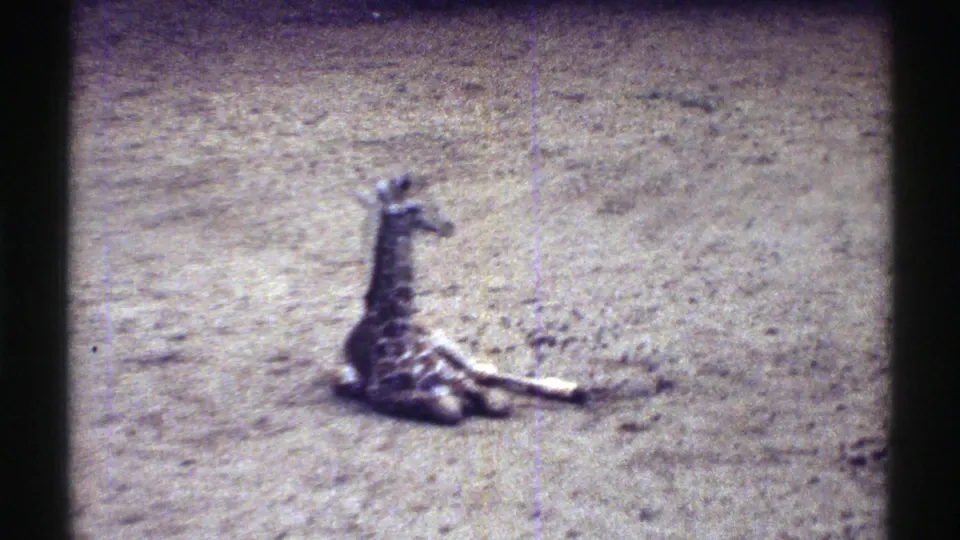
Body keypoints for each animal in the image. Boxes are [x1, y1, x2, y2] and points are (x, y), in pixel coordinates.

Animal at [333, 174, 587, 425]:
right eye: (414, 208)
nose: (448, 226)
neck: (395, 334)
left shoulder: (454, 376)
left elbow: (496, 401)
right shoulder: (382, 393)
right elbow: (450, 408)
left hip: (442, 340)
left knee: (480, 370)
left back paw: (572, 389)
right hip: (347, 379)